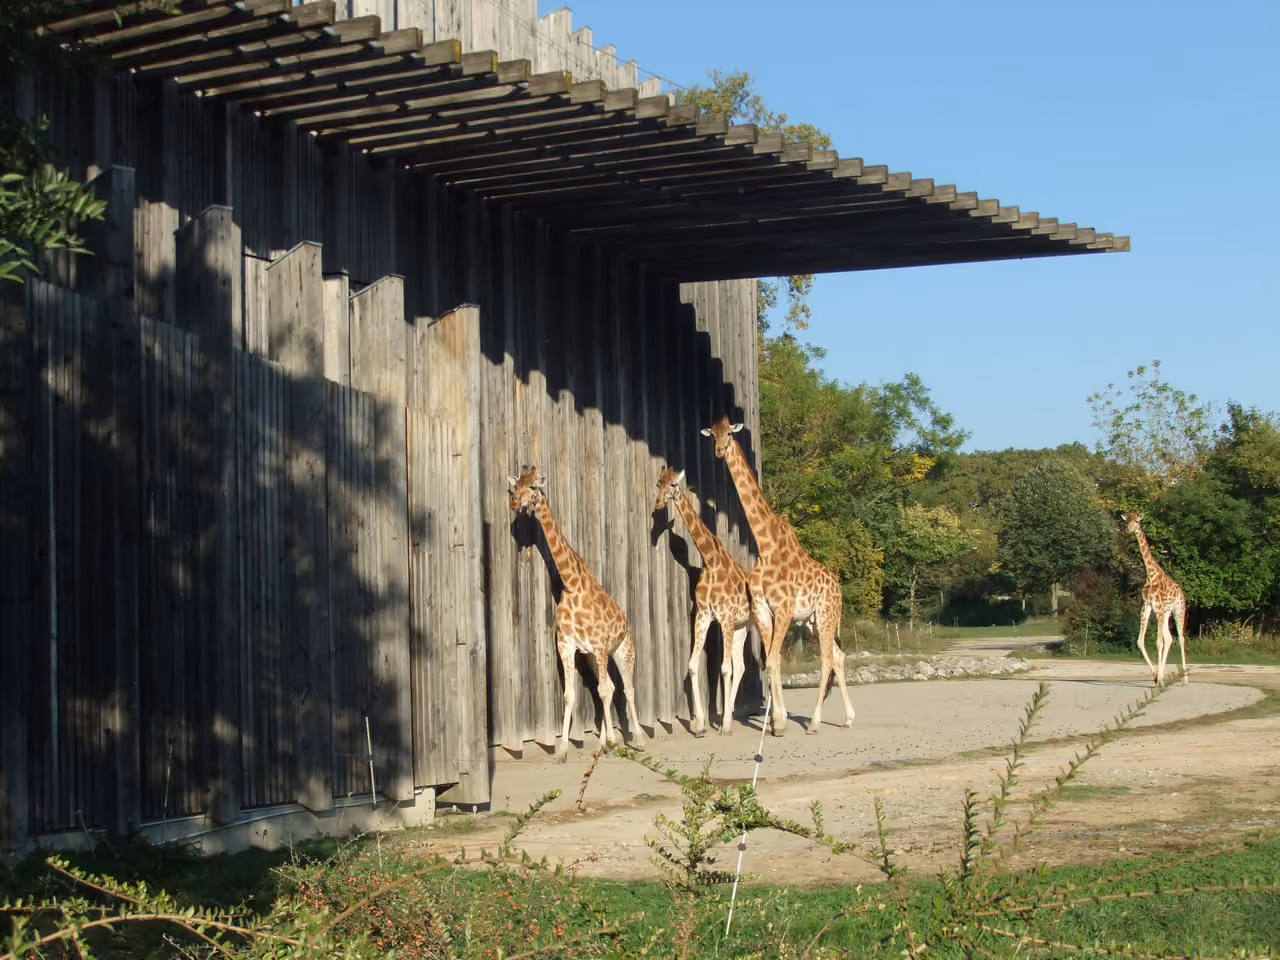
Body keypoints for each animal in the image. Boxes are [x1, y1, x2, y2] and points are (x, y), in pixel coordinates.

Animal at [508, 466, 648, 757]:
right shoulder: (568, 645)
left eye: (533, 487)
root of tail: (627, 620)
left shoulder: (600, 644)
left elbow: (605, 691)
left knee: (627, 688)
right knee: (611, 686)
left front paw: (615, 741)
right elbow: (571, 694)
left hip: (622, 651)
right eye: (517, 486)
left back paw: (638, 739)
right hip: (595, 658)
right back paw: (605, 742)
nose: (514, 503)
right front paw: (561, 750)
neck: (571, 584)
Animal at [654, 466, 754, 736]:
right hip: (742, 627)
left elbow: (724, 669)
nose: (658, 505)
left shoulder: (725, 618)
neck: (711, 561)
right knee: (742, 666)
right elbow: (692, 666)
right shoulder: (703, 616)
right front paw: (699, 724)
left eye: (673, 485)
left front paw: (724, 727)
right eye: (658, 483)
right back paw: (732, 714)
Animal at [701, 417, 854, 737]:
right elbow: (773, 662)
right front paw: (777, 721)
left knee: (826, 660)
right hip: (813, 622)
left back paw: (814, 723)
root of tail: (838, 589)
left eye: (729, 434)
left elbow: (772, 661)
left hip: (826, 615)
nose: (720, 451)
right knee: (838, 656)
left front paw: (778, 724)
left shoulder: (783, 608)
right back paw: (848, 718)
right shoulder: (762, 609)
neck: (765, 543)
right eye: (713, 435)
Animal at [1123, 513, 1189, 687]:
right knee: (1170, 639)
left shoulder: (1157, 607)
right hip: (1166, 613)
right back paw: (1163, 677)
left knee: (1181, 638)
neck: (1151, 575)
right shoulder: (1147, 606)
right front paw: (1156, 677)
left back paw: (1185, 679)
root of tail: (1182, 593)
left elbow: (1158, 643)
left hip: (1178, 610)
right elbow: (1140, 641)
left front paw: (1158, 679)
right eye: (1127, 521)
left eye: (1137, 521)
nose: (1129, 530)